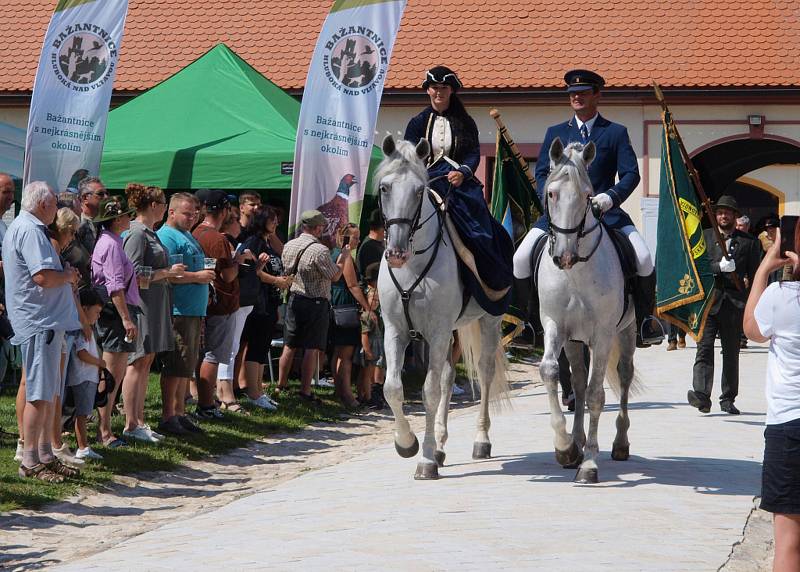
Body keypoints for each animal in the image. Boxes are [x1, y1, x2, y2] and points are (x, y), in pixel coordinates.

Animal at [378, 136, 510, 480]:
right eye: (384, 187)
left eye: (418, 190)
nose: (396, 253)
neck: (414, 265)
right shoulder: (395, 330)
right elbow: (392, 388)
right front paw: (407, 444)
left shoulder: (436, 333)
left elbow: (429, 391)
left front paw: (424, 461)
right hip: (452, 332)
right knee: (450, 377)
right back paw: (439, 445)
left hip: (489, 321)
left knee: (484, 374)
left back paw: (480, 441)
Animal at [536, 137, 640, 482]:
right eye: (551, 193)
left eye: (587, 196)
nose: (564, 256)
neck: (576, 272)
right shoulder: (555, 325)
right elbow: (551, 372)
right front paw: (565, 448)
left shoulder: (603, 335)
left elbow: (597, 395)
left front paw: (590, 464)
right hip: (573, 340)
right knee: (579, 383)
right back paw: (577, 441)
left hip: (627, 332)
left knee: (623, 376)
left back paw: (620, 444)